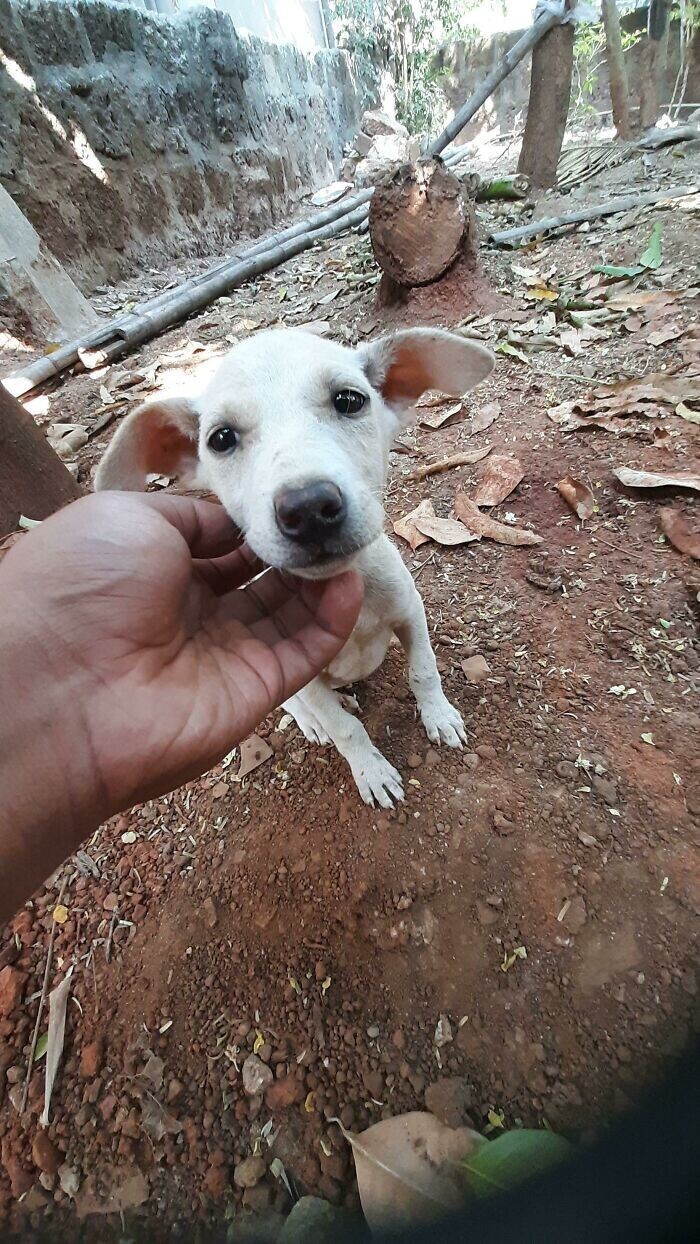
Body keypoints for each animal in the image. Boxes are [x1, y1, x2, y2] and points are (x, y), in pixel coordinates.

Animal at [95, 325, 494, 806]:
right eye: (221, 438)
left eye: (349, 400)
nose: (308, 508)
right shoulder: (301, 676)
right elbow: (346, 729)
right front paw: (371, 770)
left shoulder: (409, 610)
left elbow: (423, 670)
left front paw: (439, 716)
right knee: (303, 708)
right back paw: (315, 721)